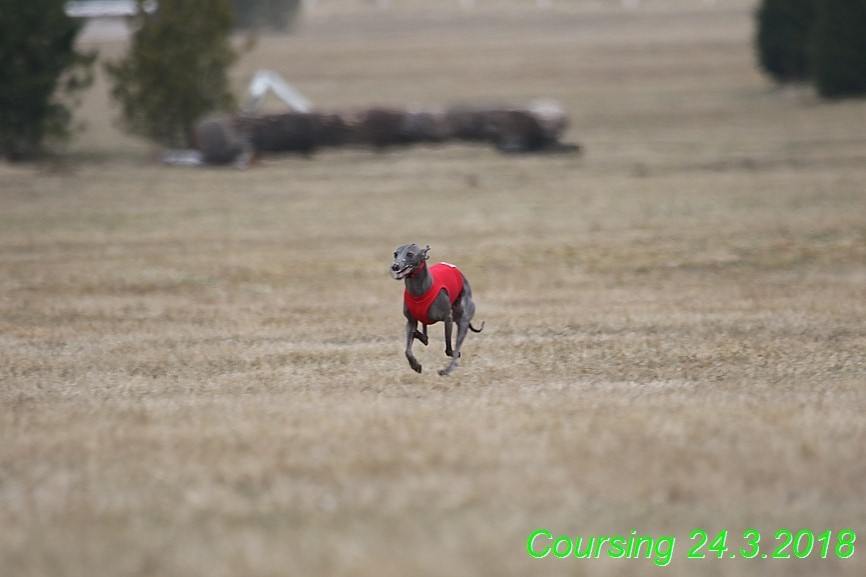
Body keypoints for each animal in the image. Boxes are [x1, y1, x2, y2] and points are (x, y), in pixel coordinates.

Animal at [394, 242, 482, 374]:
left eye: (410, 254)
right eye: (395, 254)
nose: (395, 266)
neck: (419, 293)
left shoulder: (448, 318)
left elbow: (449, 349)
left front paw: (453, 357)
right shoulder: (411, 321)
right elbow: (407, 351)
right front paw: (415, 365)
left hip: (463, 319)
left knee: (457, 339)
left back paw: (447, 370)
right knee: (425, 337)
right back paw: (419, 335)